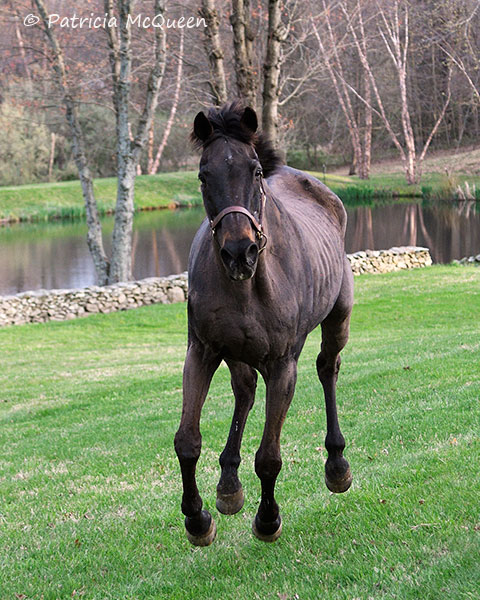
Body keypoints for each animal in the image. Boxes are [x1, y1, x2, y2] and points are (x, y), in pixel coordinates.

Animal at [173, 105, 352, 548]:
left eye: (254, 171)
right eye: (203, 175)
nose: (240, 252)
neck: (246, 287)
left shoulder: (282, 364)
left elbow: (269, 456)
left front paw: (268, 519)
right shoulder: (202, 352)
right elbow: (187, 442)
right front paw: (197, 519)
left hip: (338, 319)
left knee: (328, 368)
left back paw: (337, 464)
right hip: (236, 354)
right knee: (245, 391)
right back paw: (228, 485)